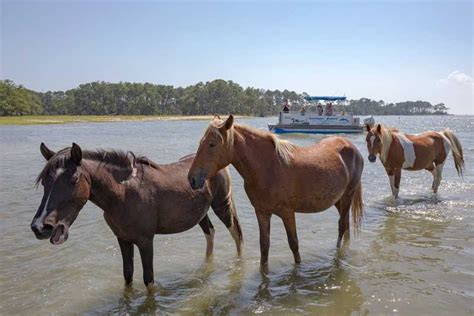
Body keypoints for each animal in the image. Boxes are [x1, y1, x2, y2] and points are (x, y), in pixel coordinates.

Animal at [30, 143, 241, 292]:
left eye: (73, 180)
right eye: (44, 181)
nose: (40, 227)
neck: (124, 194)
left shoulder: (145, 241)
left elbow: (149, 280)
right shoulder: (123, 239)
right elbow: (128, 275)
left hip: (222, 205)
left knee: (236, 235)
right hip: (201, 214)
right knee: (210, 234)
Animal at [187, 115, 364, 266]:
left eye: (212, 144)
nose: (192, 179)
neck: (268, 168)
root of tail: (352, 147)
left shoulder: (287, 213)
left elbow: (294, 244)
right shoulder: (262, 212)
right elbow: (264, 246)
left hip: (348, 194)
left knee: (342, 225)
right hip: (338, 199)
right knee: (345, 224)